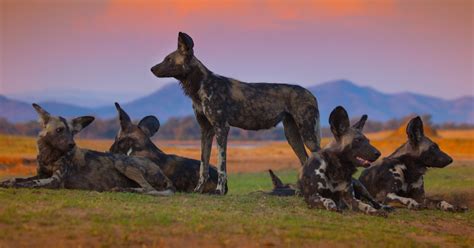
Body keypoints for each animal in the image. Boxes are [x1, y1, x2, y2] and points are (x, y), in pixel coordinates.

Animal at [0, 103, 175, 196]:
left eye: (73, 132)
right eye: (59, 130)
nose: (72, 144)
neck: (50, 155)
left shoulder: (54, 180)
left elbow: (30, 183)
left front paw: (12, 185)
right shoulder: (41, 174)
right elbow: (18, 179)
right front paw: (8, 181)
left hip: (121, 163)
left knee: (148, 189)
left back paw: (123, 189)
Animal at [152, 31, 322, 194]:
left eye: (168, 59)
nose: (152, 68)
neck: (201, 85)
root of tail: (311, 94)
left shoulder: (221, 128)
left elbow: (221, 165)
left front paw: (219, 190)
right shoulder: (206, 131)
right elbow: (203, 165)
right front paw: (198, 190)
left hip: (307, 135)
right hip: (292, 136)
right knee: (304, 160)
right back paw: (301, 192)